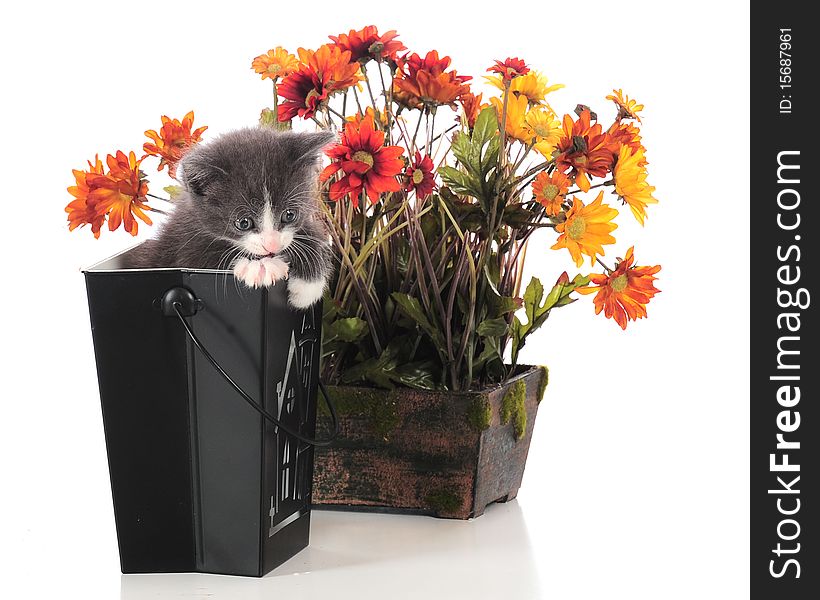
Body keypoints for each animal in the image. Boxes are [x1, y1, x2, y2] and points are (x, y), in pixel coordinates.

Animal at [125, 124, 336, 308]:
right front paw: (258, 266)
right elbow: (203, 259)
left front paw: (306, 289)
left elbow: (312, 236)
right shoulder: (181, 245)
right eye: (243, 223)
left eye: (289, 214)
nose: (272, 245)